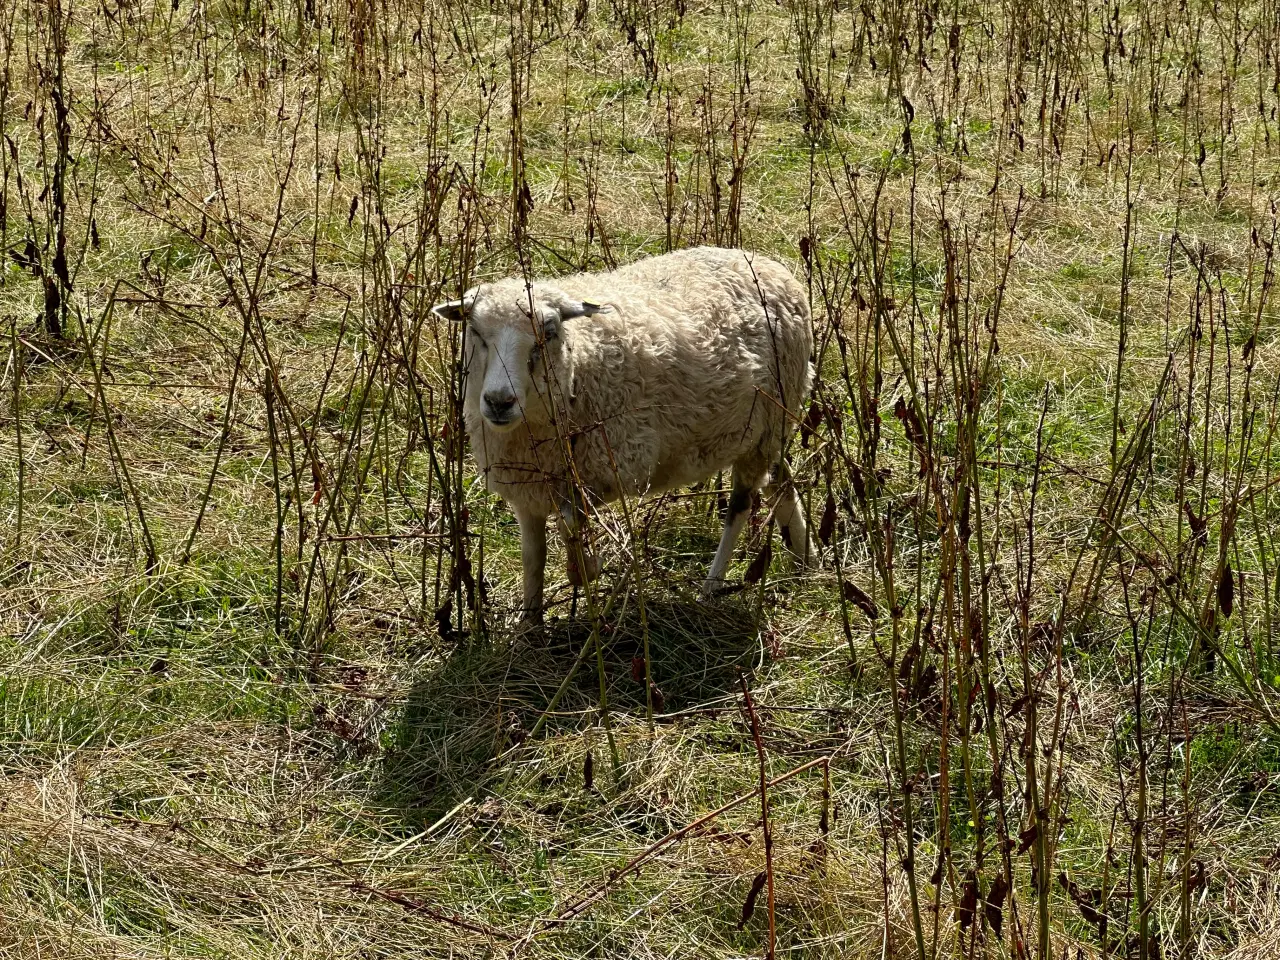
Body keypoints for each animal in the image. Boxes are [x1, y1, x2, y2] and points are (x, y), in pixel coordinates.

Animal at [430, 244, 808, 627]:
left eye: (548, 332)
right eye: (475, 331)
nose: (498, 401)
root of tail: (766, 263)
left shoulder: (604, 467)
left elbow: (570, 529)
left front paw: (586, 568)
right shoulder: (527, 489)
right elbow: (532, 559)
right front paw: (528, 626)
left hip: (767, 421)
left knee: (741, 507)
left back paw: (711, 588)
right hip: (769, 430)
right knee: (781, 480)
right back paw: (805, 561)